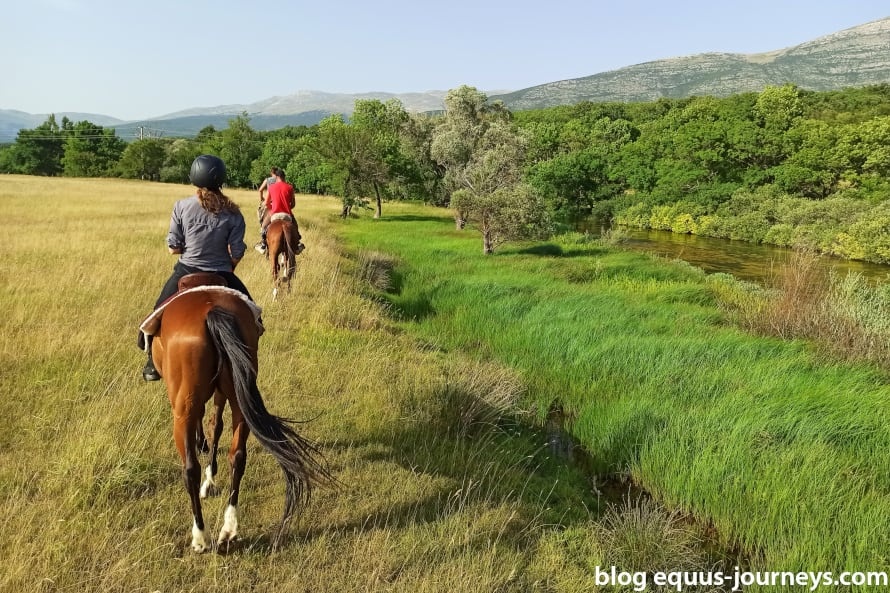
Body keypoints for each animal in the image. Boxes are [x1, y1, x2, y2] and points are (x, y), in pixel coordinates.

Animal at [151, 286, 332, 552]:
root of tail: (211, 310)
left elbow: (209, 424)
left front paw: (206, 464)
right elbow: (216, 425)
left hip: (183, 407)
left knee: (190, 469)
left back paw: (200, 537)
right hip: (239, 396)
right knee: (237, 456)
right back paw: (228, 530)